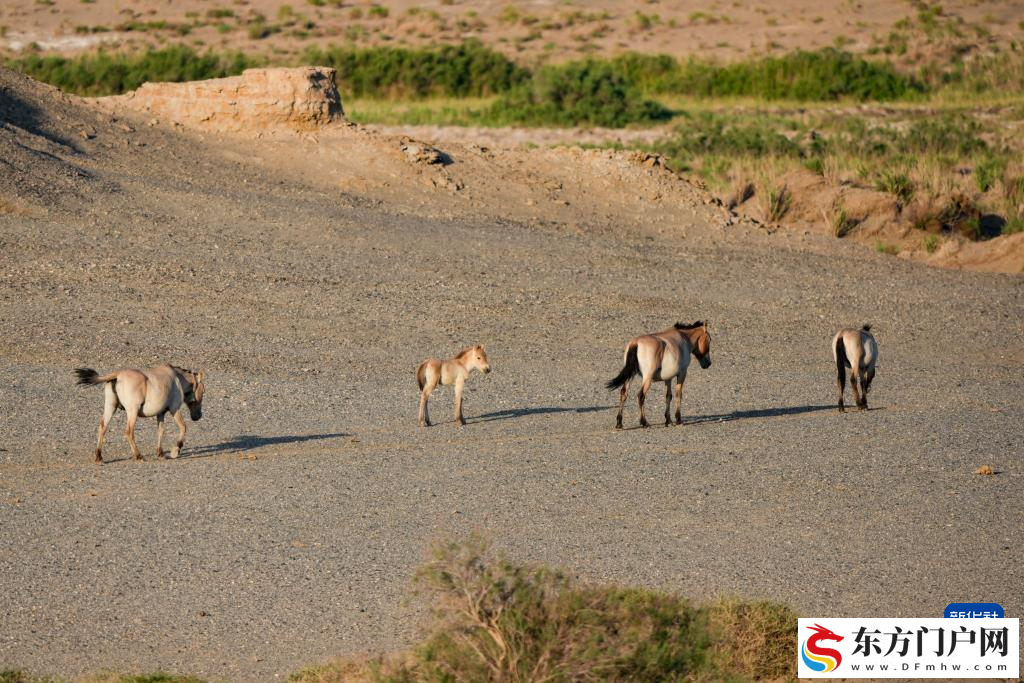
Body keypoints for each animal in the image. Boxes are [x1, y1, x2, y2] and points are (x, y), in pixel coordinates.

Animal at [75, 364, 205, 463]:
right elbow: (183, 427)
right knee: (129, 432)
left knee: (103, 427)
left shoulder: (161, 414)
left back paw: (99, 457)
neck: (177, 378)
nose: (198, 416)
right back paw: (138, 456)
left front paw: (160, 453)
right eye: (203, 391)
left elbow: (161, 431)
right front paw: (175, 451)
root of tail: (118, 374)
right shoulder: (174, 409)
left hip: (110, 407)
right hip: (132, 411)